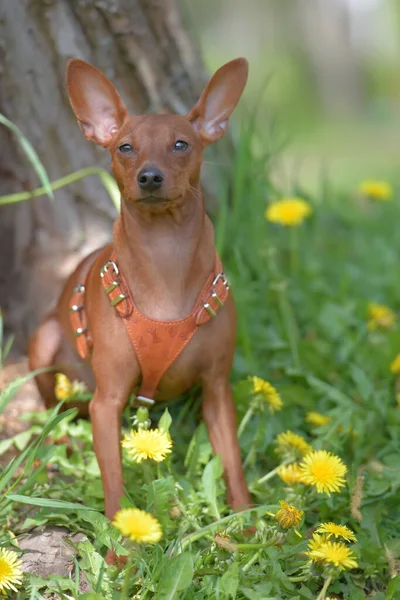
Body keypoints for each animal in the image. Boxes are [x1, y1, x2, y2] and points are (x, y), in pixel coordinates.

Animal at [29, 57, 252, 564]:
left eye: (181, 144)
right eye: (124, 147)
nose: (150, 176)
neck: (165, 261)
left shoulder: (217, 391)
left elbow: (233, 465)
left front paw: (250, 527)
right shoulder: (107, 403)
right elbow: (113, 484)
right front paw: (118, 554)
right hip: (44, 342)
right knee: (56, 407)